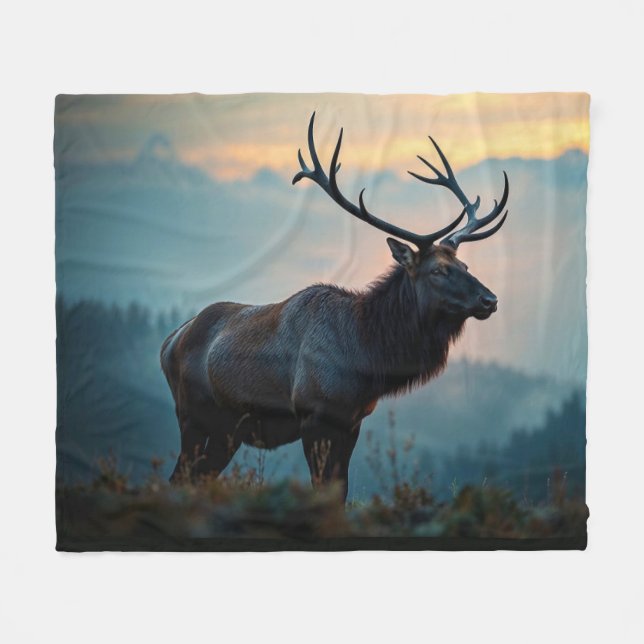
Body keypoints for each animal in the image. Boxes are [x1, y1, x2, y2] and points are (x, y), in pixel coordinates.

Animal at [161, 113, 509, 501]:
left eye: (465, 265)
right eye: (438, 270)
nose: (489, 299)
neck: (366, 356)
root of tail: (169, 341)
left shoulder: (352, 421)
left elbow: (339, 491)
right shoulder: (316, 415)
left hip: (227, 430)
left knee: (195, 476)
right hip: (191, 414)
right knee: (177, 476)